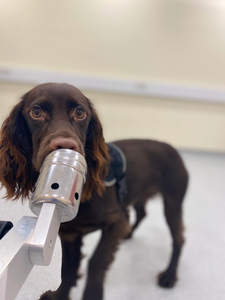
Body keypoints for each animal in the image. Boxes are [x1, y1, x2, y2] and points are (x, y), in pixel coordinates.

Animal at [0, 83, 188, 300]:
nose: (65, 146)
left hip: (173, 202)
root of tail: (173, 149)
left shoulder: (115, 221)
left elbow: (96, 262)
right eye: (36, 112)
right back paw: (130, 234)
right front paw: (60, 296)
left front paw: (92, 294)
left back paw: (169, 276)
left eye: (80, 112)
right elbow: (68, 270)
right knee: (142, 213)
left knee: (178, 238)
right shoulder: (70, 233)